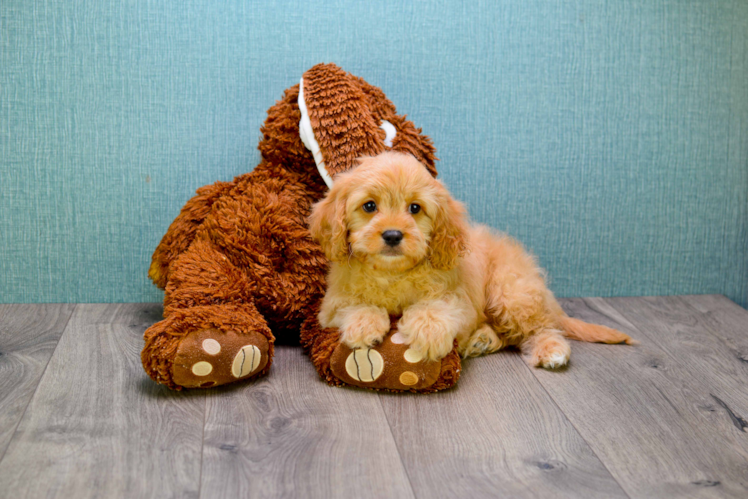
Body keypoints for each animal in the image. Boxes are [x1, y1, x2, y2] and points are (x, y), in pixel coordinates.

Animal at [306, 151, 636, 368]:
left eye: (415, 208)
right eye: (369, 206)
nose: (392, 235)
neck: (393, 273)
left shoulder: (458, 298)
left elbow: (437, 308)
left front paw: (428, 332)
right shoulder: (331, 305)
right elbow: (355, 305)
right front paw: (364, 325)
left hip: (511, 292)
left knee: (539, 328)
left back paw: (550, 350)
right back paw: (483, 340)